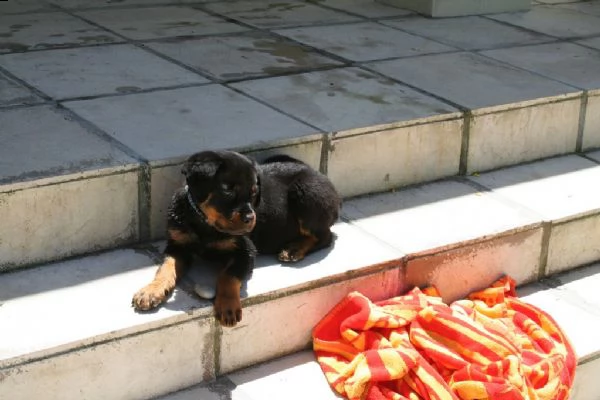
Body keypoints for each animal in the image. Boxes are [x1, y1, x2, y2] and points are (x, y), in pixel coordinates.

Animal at [131, 150, 340, 324]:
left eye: (254, 192)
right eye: (227, 189)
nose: (250, 218)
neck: (205, 224)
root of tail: (321, 175)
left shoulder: (245, 250)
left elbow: (228, 276)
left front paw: (228, 307)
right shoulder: (178, 244)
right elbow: (165, 269)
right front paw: (150, 292)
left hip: (306, 192)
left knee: (326, 237)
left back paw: (293, 249)